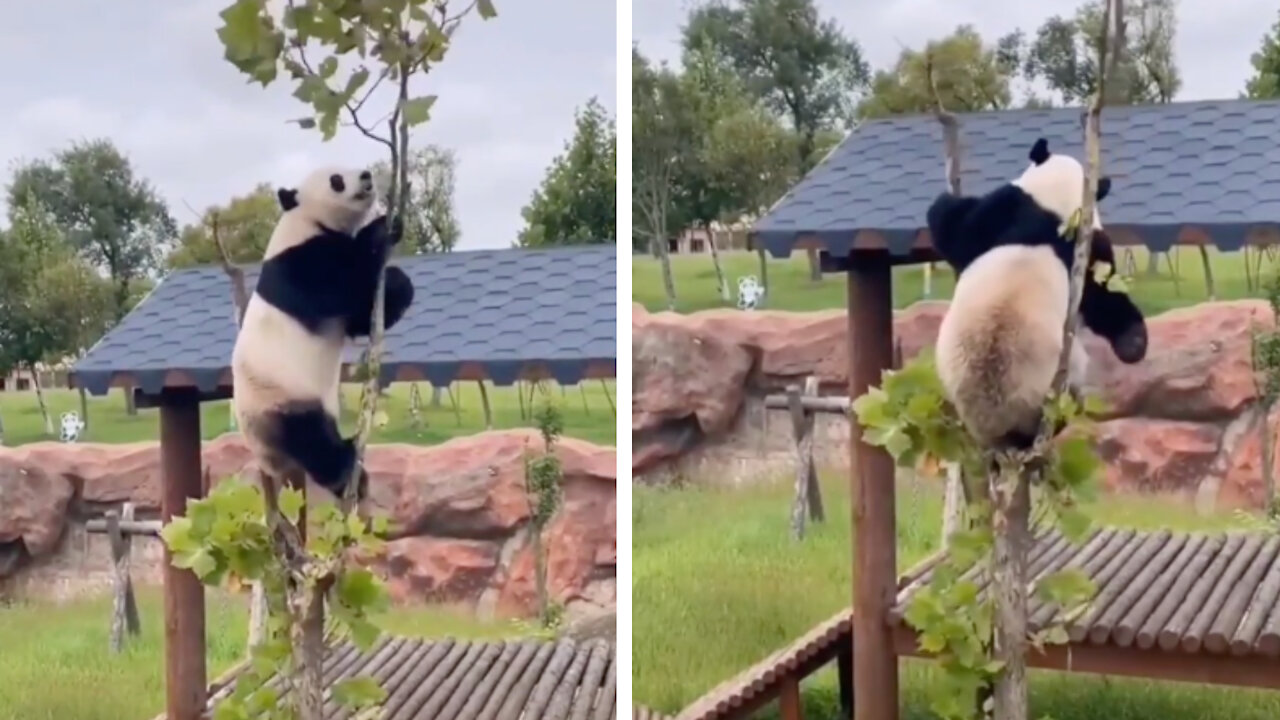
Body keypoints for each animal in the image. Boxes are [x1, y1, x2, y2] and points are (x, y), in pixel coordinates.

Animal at [227, 165, 412, 497]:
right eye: (336, 180)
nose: (366, 176)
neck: (307, 220)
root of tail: (270, 462)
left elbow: (358, 316)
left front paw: (397, 285)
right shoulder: (301, 263)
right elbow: (344, 285)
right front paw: (382, 228)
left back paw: (356, 478)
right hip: (279, 400)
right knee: (311, 440)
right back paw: (342, 471)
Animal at [921, 136, 1152, 448]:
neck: (1054, 213)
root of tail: (996, 425)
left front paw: (1133, 344)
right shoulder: (1013, 209)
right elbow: (1102, 294)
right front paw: (1133, 341)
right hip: (1052, 394)